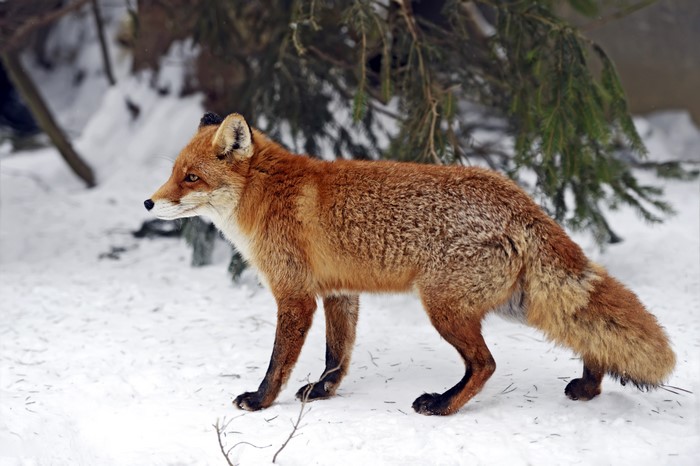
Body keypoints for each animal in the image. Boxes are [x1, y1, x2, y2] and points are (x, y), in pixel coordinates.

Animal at [144, 112, 675, 415]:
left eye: (191, 178)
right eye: (173, 173)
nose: (149, 203)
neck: (267, 197)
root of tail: (519, 199)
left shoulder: (295, 296)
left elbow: (278, 361)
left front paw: (260, 401)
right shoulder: (339, 292)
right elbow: (336, 356)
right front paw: (323, 393)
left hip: (444, 307)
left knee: (486, 364)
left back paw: (442, 405)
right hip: (513, 305)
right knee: (588, 335)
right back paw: (589, 385)